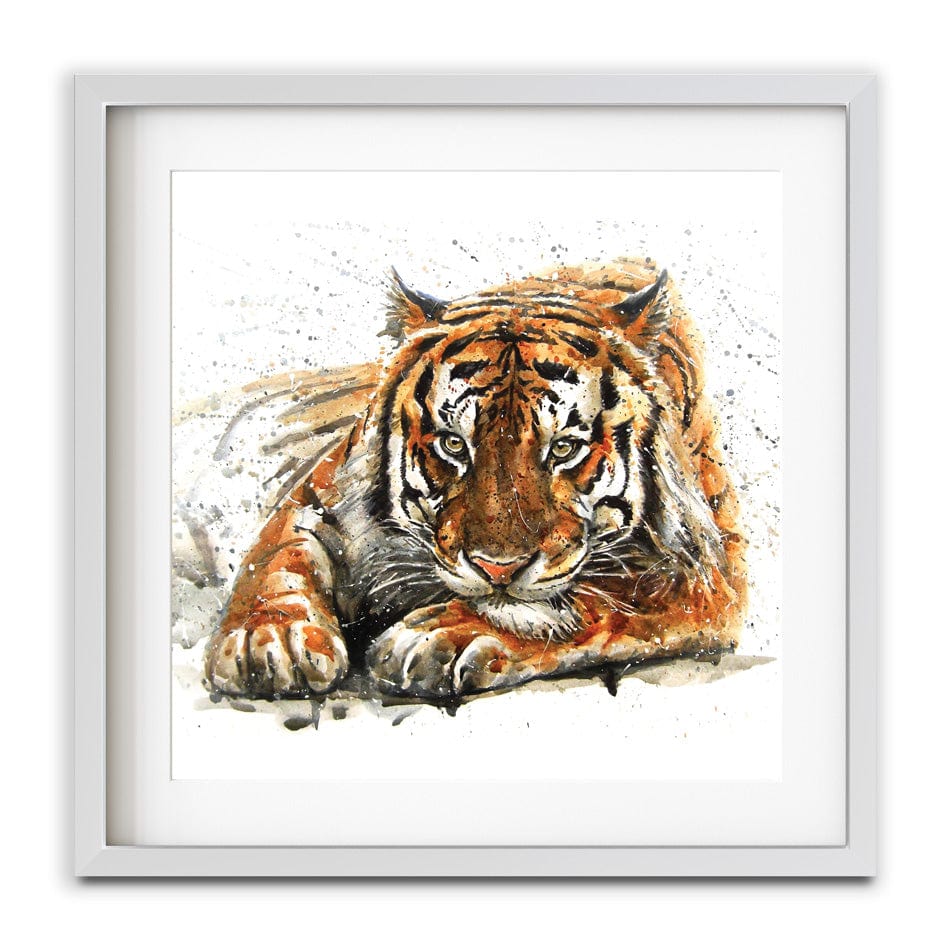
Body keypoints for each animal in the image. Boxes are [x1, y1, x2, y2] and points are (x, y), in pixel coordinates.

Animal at [204, 256, 748, 702]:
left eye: (564, 449)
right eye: (453, 444)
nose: (497, 570)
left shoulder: (705, 571)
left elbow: (597, 597)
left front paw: (444, 635)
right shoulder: (320, 492)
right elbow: (277, 556)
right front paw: (268, 638)